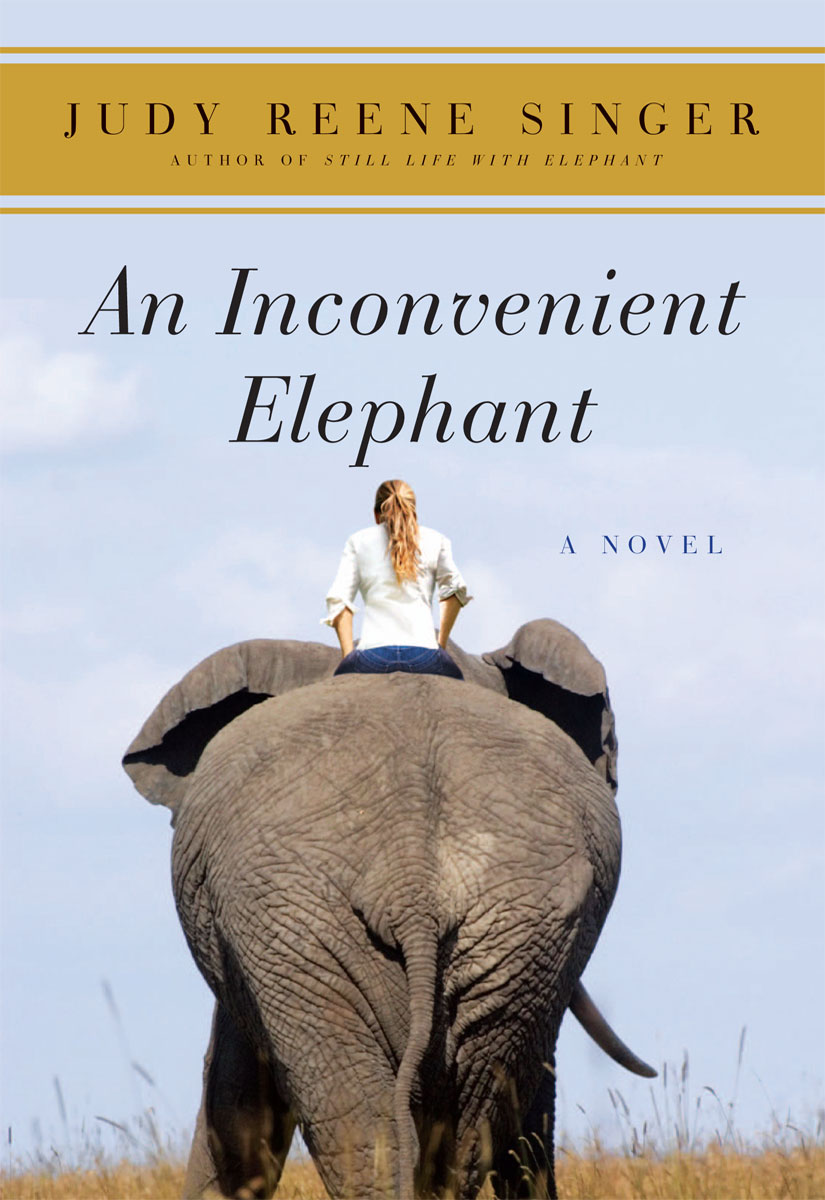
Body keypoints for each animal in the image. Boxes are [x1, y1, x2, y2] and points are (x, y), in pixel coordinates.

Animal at [123, 619, 656, 1199]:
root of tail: (411, 880)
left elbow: (236, 1093)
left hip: (320, 925)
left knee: (367, 1124)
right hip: (487, 928)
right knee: (459, 1126)